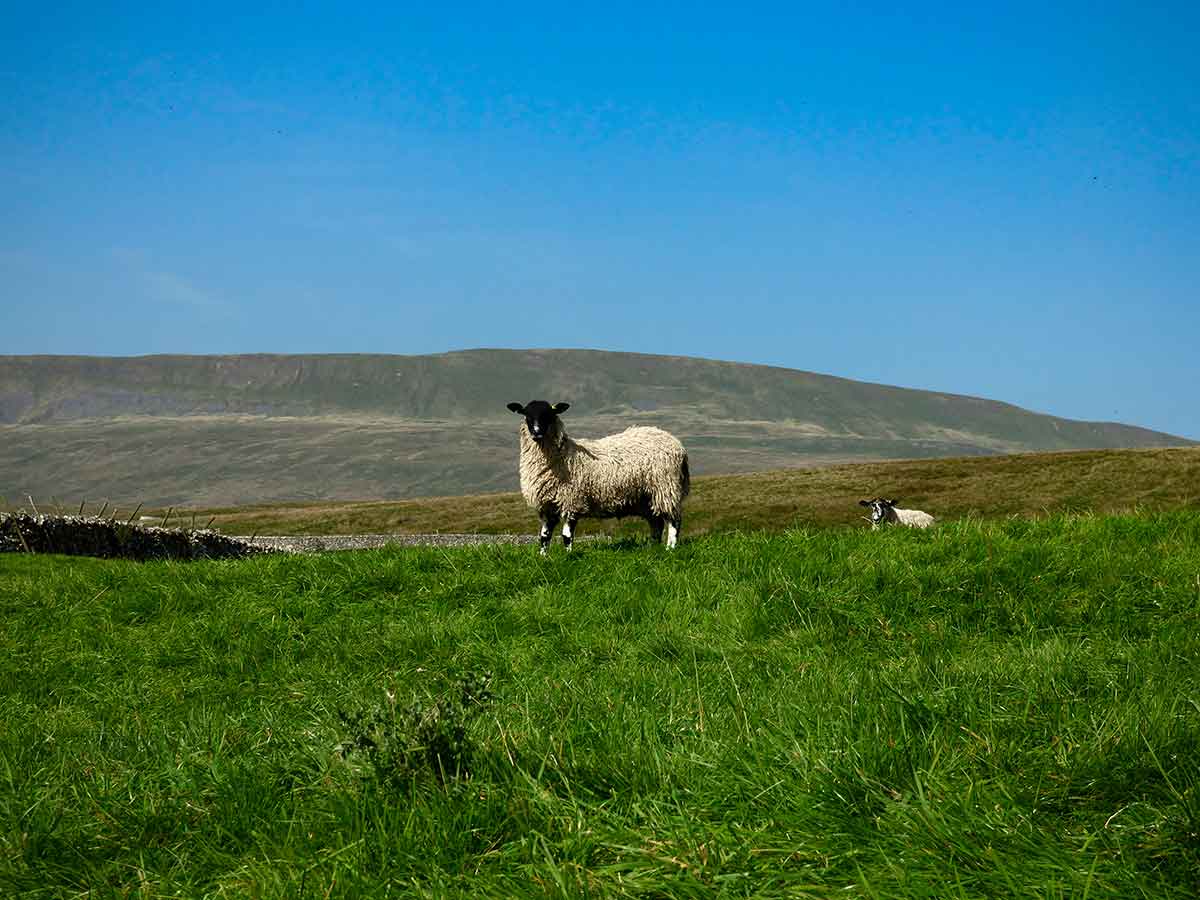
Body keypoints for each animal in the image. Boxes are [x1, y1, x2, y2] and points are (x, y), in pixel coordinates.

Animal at [506, 403, 696, 556]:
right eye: (527, 415)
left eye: (548, 414)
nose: (537, 433)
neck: (562, 455)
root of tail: (678, 445)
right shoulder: (546, 505)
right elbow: (544, 536)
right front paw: (543, 557)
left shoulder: (571, 500)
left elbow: (567, 536)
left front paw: (568, 557)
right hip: (647, 498)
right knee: (657, 523)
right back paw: (652, 548)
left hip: (665, 488)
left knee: (674, 521)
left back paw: (670, 548)